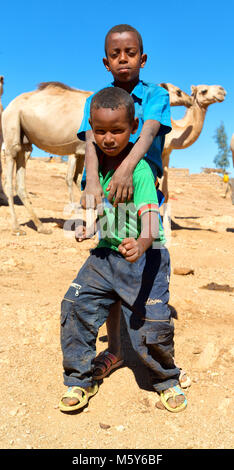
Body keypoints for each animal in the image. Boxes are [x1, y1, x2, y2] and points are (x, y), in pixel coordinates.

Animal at [1, 82, 192, 235]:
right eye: (178, 91)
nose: (190, 99)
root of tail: (10, 105)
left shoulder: (80, 152)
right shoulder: (84, 149)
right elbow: (85, 185)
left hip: (25, 140)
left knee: (21, 181)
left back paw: (41, 226)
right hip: (12, 127)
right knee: (9, 177)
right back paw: (16, 228)